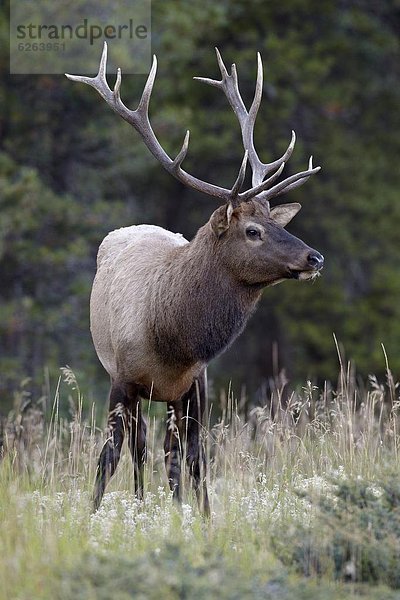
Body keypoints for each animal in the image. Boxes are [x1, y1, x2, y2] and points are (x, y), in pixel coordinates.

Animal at [65, 43, 322, 516]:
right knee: (139, 447)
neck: (171, 340)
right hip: (133, 387)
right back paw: (140, 503)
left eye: (272, 222)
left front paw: (201, 518)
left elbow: (196, 457)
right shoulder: (121, 378)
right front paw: (90, 515)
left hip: (169, 398)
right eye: (252, 231)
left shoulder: (196, 383)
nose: (314, 257)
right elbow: (108, 455)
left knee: (166, 451)